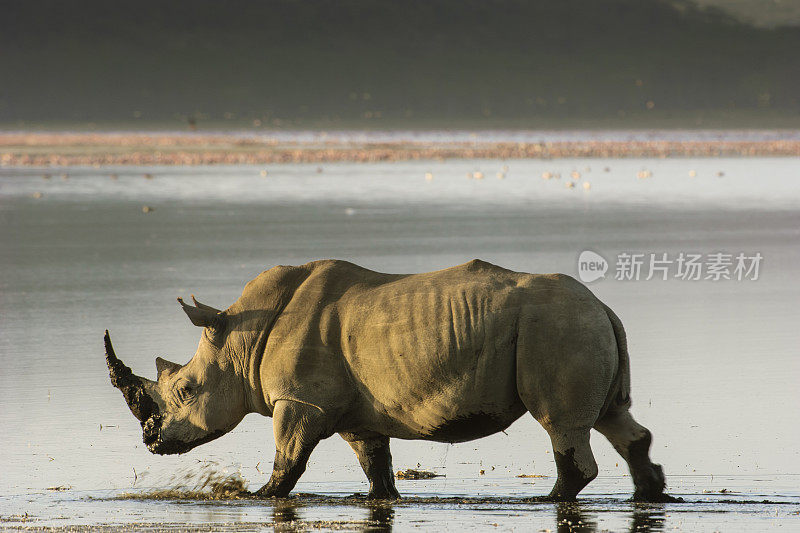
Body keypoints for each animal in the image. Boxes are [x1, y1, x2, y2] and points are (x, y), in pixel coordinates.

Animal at [104, 260, 676, 500]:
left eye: (185, 391)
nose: (151, 441)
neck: (239, 340)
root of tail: (603, 306)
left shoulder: (300, 401)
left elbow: (289, 459)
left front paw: (257, 496)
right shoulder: (355, 413)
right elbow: (374, 465)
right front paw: (384, 497)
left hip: (556, 328)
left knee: (560, 423)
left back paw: (547, 500)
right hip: (577, 326)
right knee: (613, 417)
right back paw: (650, 495)